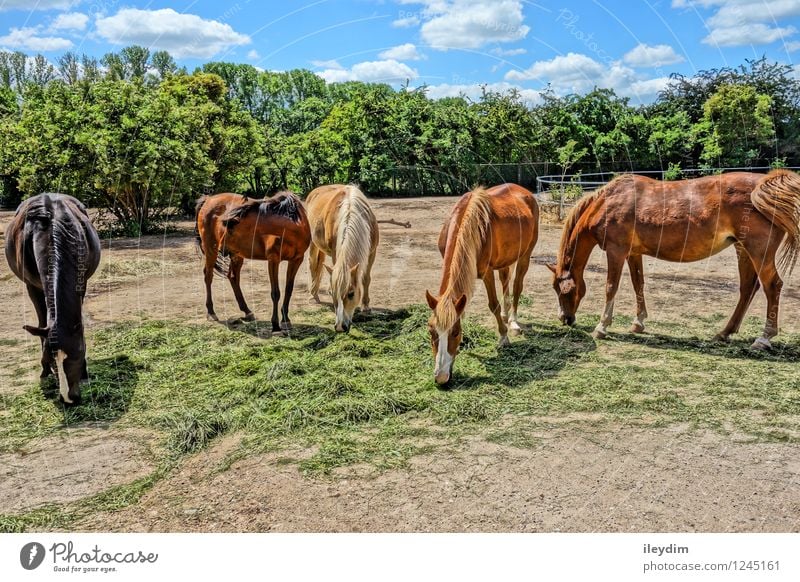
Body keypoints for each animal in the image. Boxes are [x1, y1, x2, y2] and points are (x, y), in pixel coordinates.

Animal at [4, 194, 101, 404]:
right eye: (49, 358)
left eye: (76, 356)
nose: (69, 399)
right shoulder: (32, 287)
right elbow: (42, 324)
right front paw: (44, 371)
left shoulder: (81, 283)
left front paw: (85, 373)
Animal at [197, 193, 312, 334]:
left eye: (230, 227)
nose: (221, 248)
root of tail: (208, 199)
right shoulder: (273, 260)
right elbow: (275, 293)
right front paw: (275, 324)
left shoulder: (296, 260)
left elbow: (288, 290)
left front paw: (285, 320)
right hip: (210, 249)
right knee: (208, 276)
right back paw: (211, 312)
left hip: (236, 254)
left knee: (233, 277)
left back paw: (247, 311)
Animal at [306, 185, 382, 336]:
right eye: (332, 293)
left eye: (351, 293)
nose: (340, 327)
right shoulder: (336, 252)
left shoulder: (372, 252)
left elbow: (365, 278)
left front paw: (365, 306)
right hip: (313, 242)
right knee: (313, 265)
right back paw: (314, 295)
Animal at [424, 180, 536, 386]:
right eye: (431, 332)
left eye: (455, 333)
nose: (441, 378)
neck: (467, 225)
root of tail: (524, 192)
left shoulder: (486, 273)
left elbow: (493, 304)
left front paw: (503, 337)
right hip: (505, 261)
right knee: (505, 281)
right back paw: (506, 315)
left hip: (525, 255)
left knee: (517, 286)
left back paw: (513, 322)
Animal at [552, 170, 800, 352]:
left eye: (564, 291)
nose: (565, 319)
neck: (608, 202)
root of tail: (764, 185)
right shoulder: (633, 254)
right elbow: (638, 284)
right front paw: (638, 322)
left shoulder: (616, 252)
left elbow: (611, 287)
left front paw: (602, 326)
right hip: (743, 250)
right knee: (748, 288)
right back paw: (724, 333)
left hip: (759, 252)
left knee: (772, 286)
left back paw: (764, 338)